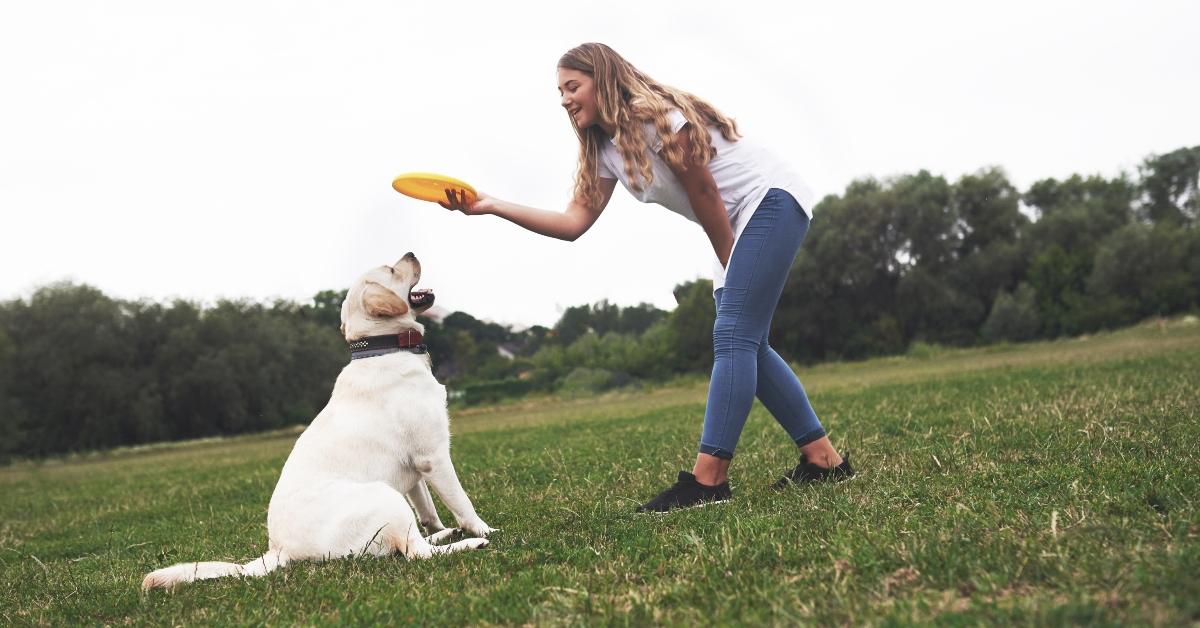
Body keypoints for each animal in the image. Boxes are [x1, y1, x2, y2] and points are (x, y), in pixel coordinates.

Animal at [142, 253, 494, 593]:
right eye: (392, 269)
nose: (411, 253)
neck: (384, 347)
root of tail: (278, 549)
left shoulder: (414, 471)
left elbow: (427, 509)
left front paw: (442, 527)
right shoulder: (433, 457)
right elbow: (461, 502)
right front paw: (482, 528)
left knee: (415, 539)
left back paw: (445, 535)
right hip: (384, 495)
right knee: (416, 553)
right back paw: (469, 543)